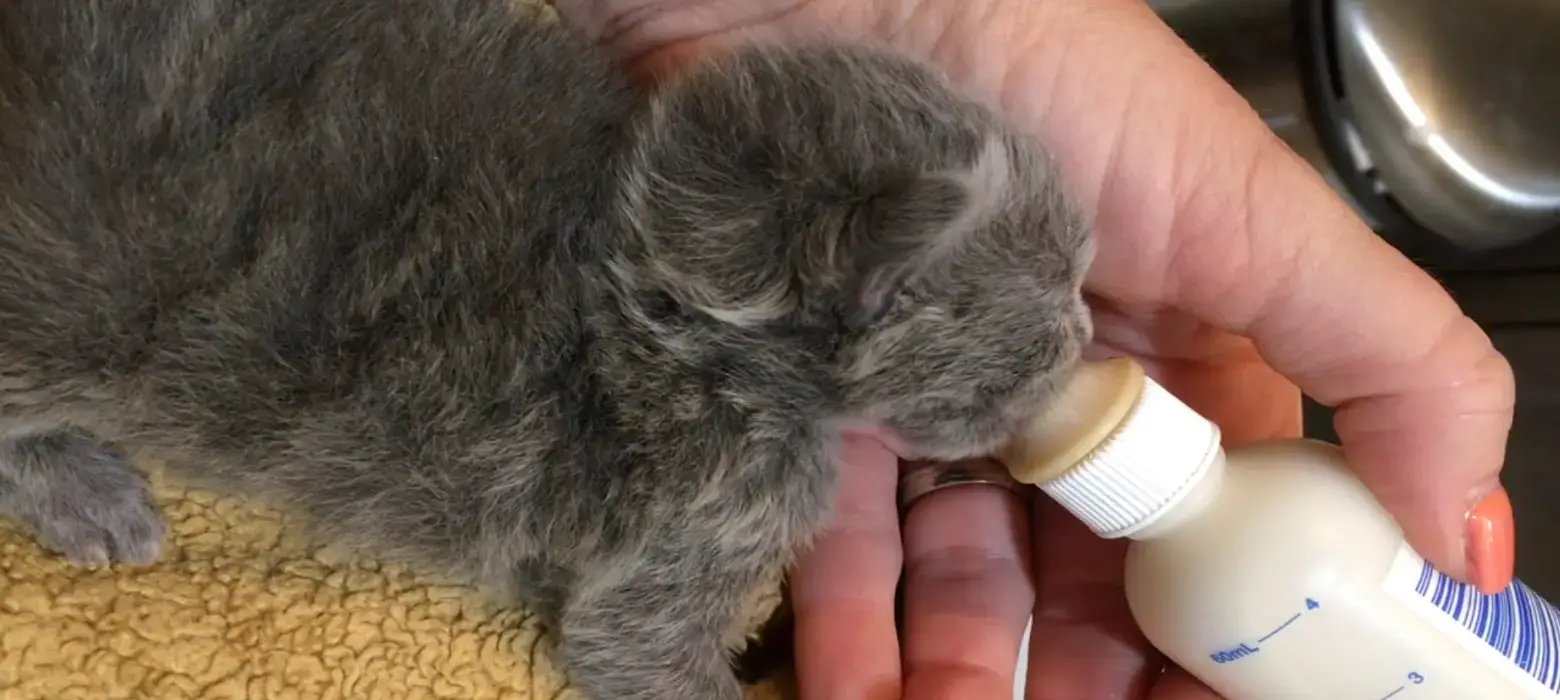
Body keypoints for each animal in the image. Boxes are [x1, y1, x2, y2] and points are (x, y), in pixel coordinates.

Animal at [0, 1, 1092, 698]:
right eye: (1057, 300)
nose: (1086, 332)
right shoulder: (703, 520)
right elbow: (636, 652)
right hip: (75, 306)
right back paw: (83, 487)